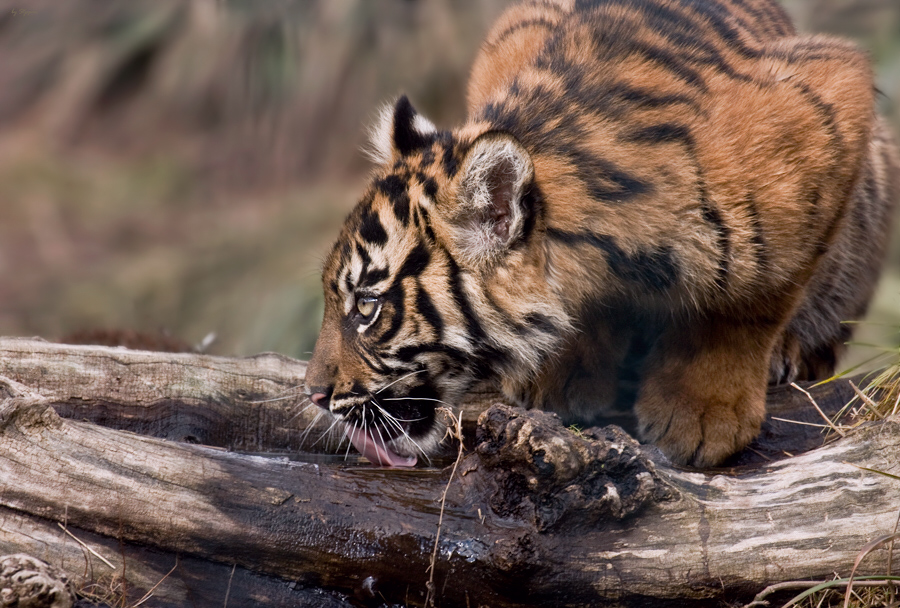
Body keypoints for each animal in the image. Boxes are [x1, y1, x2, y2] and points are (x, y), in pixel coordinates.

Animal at [306, 0, 896, 466]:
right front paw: (560, 379)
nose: (314, 395)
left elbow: (751, 302)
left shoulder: (829, 98)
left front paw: (705, 414)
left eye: (367, 307)